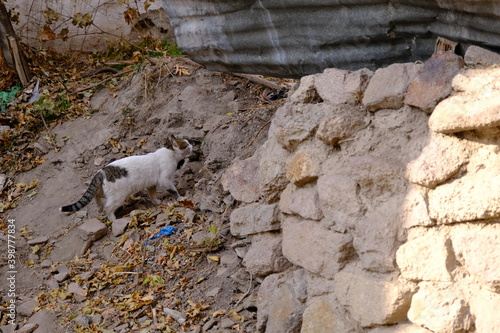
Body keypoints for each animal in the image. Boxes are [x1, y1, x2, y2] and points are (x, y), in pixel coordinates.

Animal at [58, 134, 191, 222]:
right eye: (186, 144)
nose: (191, 145)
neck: (170, 153)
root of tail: (101, 172)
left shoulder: (151, 184)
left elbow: (152, 194)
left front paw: (156, 202)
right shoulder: (165, 180)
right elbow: (173, 190)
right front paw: (180, 198)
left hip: (105, 192)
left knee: (96, 196)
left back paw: (99, 207)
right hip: (118, 196)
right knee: (108, 207)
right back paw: (113, 219)